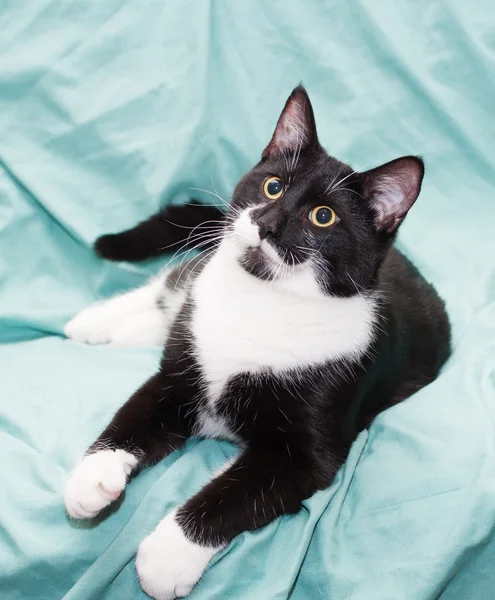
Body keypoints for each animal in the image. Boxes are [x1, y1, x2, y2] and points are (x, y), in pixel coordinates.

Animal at [64, 86, 452, 600]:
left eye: (323, 216)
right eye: (272, 187)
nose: (266, 223)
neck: (265, 303)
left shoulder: (309, 450)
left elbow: (237, 492)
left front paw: (167, 556)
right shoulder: (178, 375)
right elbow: (137, 411)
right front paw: (92, 478)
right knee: (170, 286)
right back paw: (93, 321)